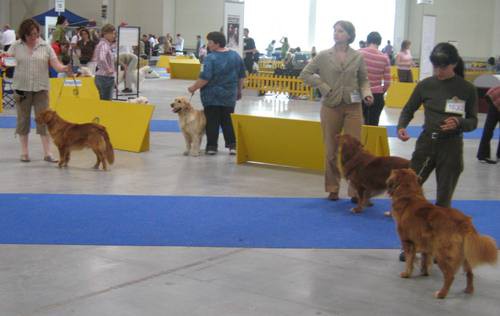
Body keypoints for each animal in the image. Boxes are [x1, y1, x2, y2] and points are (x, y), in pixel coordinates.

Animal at [386, 168, 496, 298]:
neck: (409, 196)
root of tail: (464, 222)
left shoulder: (408, 241)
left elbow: (410, 260)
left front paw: (406, 274)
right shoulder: (426, 242)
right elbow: (425, 258)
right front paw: (425, 272)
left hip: (442, 252)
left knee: (450, 275)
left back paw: (441, 293)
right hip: (463, 253)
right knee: (470, 273)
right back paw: (468, 290)